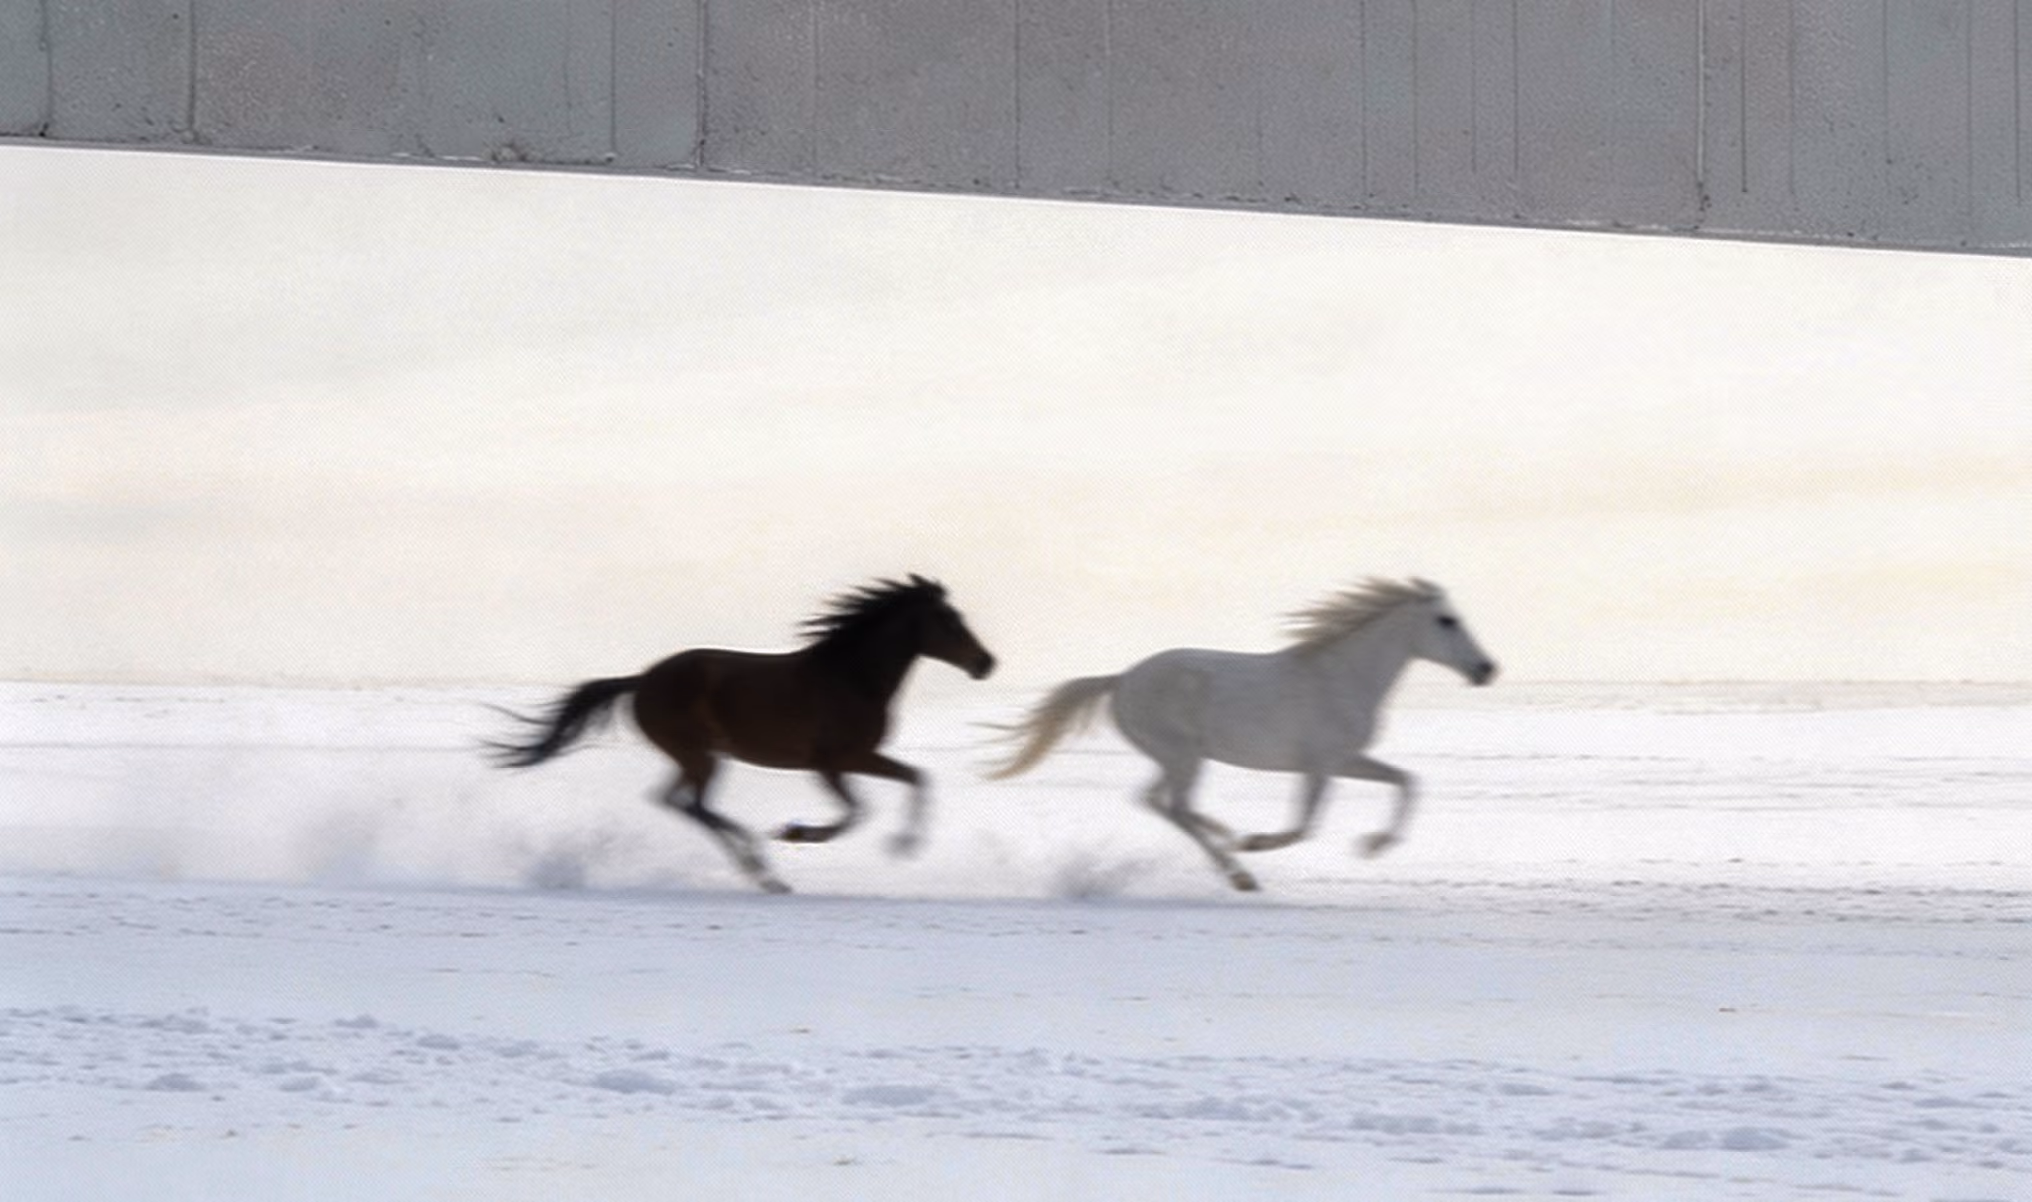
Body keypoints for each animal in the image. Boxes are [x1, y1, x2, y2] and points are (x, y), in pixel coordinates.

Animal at [489, 575, 995, 893]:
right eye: (949, 620)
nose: (986, 663)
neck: (851, 678)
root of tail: (642, 680)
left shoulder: (860, 757)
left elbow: (916, 778)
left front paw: (905, 845)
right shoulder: (832, 762)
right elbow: (858, 812)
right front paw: (797, 832)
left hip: (693, 756)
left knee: (674, 801)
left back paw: (760, 867)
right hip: (700, 755)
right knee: (695, 806)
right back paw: (765, 869)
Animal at [987, 578, 1495, 892]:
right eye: (1447, 620)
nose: (1487, 669)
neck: (1340, 676)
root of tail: (1122, 679)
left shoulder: (1346, 760)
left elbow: (1407, 780)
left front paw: (1372, 846)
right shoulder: (1320, 764)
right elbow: (1305, 825)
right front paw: (1255, 843)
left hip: (1173, 757)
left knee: (1156, 801)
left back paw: (1226, 841)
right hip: (1182, 755)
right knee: (1176, 807)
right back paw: (1239, 871)